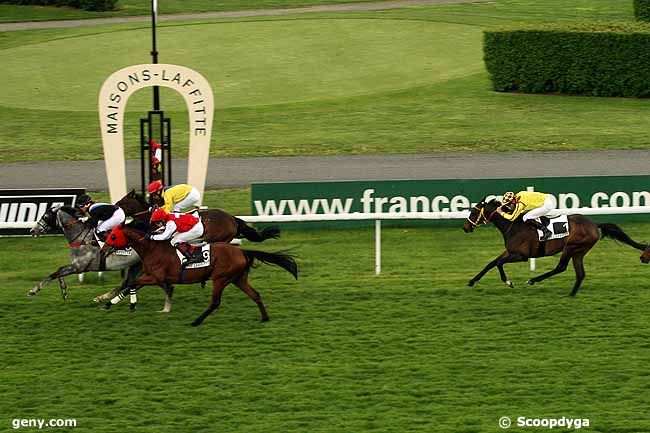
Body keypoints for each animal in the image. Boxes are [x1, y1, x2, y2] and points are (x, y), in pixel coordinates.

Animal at [29, 205, 173, 310]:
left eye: (45, 216)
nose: (32, 231)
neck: (81, 239)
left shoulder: (79, 267)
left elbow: (54, 274)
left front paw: (33, 290)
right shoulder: (76, 266)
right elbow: (59, 271)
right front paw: (64, 292)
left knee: (140, 283)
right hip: (136, 264)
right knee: (128, 283)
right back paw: (103, 298)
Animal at [100, 223, 298, 324]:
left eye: (113, 236)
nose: (103, 250)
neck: (151, 248)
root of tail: (242, 251)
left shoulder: (156, 277)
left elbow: (132, 283)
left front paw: (130, 304)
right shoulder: (151, 276)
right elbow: (131, 284)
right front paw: (109, 303)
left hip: (220, 278)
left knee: (215, 302)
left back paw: (196, 321)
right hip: (238, 279)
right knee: (255, 295)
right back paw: (264, 318)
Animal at [460, 197, 644, 296]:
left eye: (474, 212)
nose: (465, 227)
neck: (514, 226)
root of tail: (594, 224)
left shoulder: (521, 255)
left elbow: (498, 263)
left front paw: (509, 282)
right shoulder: (510, 251)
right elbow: (491, 263)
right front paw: (471, 281)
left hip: (571, 247)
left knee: (561, 267)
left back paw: (533, 280)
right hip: (579, 252)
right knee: (580, 273)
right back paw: (571, 294)